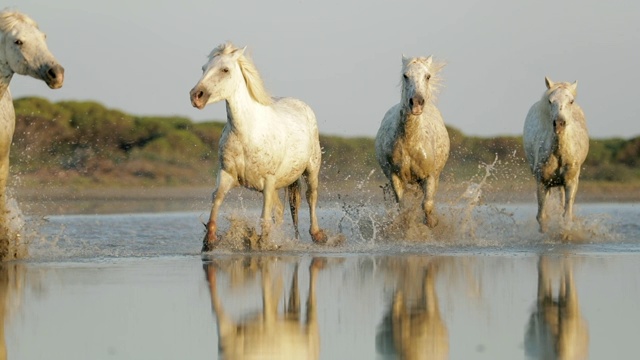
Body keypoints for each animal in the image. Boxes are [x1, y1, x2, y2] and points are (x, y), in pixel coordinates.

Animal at [190, 42, 328, 250]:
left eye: (225, 69)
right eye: (204, 68)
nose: (196, 96)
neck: (247, 133)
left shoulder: (268, 181)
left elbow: (265, 217)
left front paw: (263, 243)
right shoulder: (227, 174)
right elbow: (217, 198)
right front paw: (210, 239)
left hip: (311, 168)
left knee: (311, 196)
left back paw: (318, 235)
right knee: (280, 210)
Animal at [376, 54, 450, 226]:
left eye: (427, 76)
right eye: (405, 75)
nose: (416, 103)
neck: (411, 141)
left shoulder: (430, 176)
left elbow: (427, 205)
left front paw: (431, 223)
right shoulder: (395, 176)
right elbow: (403, 207)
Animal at [524, 76, 588, 233]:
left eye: (571, 101)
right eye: (550, 101)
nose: (559, 123)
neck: (559, 153)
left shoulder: (570, 182)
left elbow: (567, 215)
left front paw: (566, 234)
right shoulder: (542, 182)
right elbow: (541, 217)